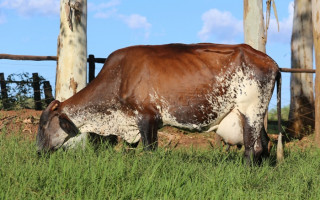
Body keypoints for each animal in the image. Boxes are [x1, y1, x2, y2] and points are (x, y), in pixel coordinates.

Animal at [37, 43, 282, 163]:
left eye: (42, 125)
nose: (38, 152)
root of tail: (270, 61)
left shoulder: (147, 118)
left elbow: (149, 150)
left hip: (251, 112)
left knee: (251, 148)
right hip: (254, 115)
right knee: (264, 144)